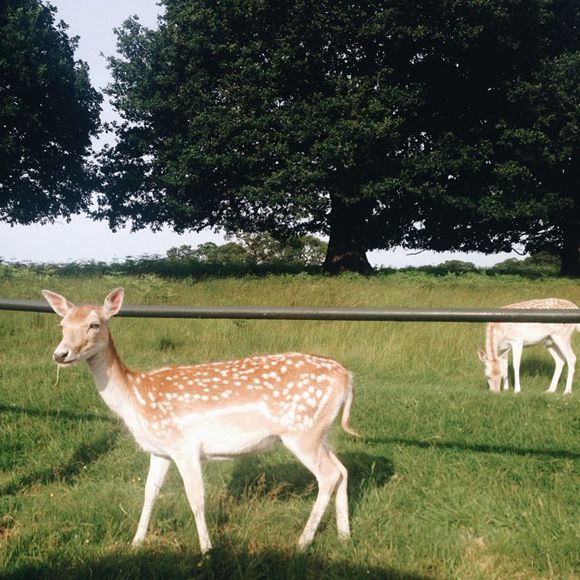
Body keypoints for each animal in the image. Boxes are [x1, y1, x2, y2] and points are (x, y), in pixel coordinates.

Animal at [43, 288, 358, 552]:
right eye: (62, 325)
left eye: (94, 324)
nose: (60, 354)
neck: (135, 397)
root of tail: (347, 378)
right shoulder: (160, 450)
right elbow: (149, 493)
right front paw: (136, 542)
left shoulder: (184, 446)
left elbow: (196, 498)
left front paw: (207, 550)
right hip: (319, 432)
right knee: (342, 469)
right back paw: (344, 535)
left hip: (303, 432)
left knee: (328, 475)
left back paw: (302, 542)